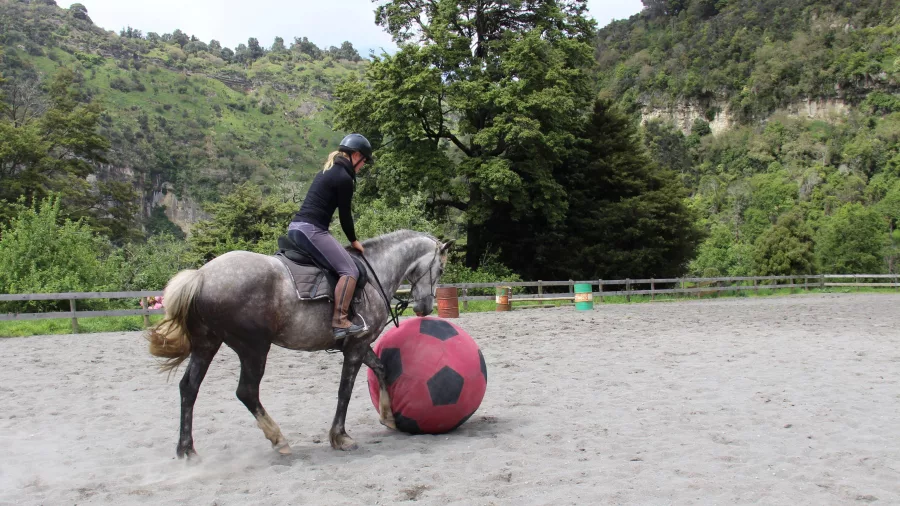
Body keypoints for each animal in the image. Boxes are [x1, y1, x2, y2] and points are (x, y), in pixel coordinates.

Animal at [146, 229, 452, 458]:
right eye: (440, 268)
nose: (425, 307)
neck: (375, 271)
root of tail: (201, 276)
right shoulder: (355, 347)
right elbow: (345, 391)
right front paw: (340, 437)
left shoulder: (359, 344)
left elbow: (381, 369)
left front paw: (388, 416)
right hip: (253, 348)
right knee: (247, 391)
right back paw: (278, 438)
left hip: (207, 344)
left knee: (189, 388)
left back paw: (187, 450)